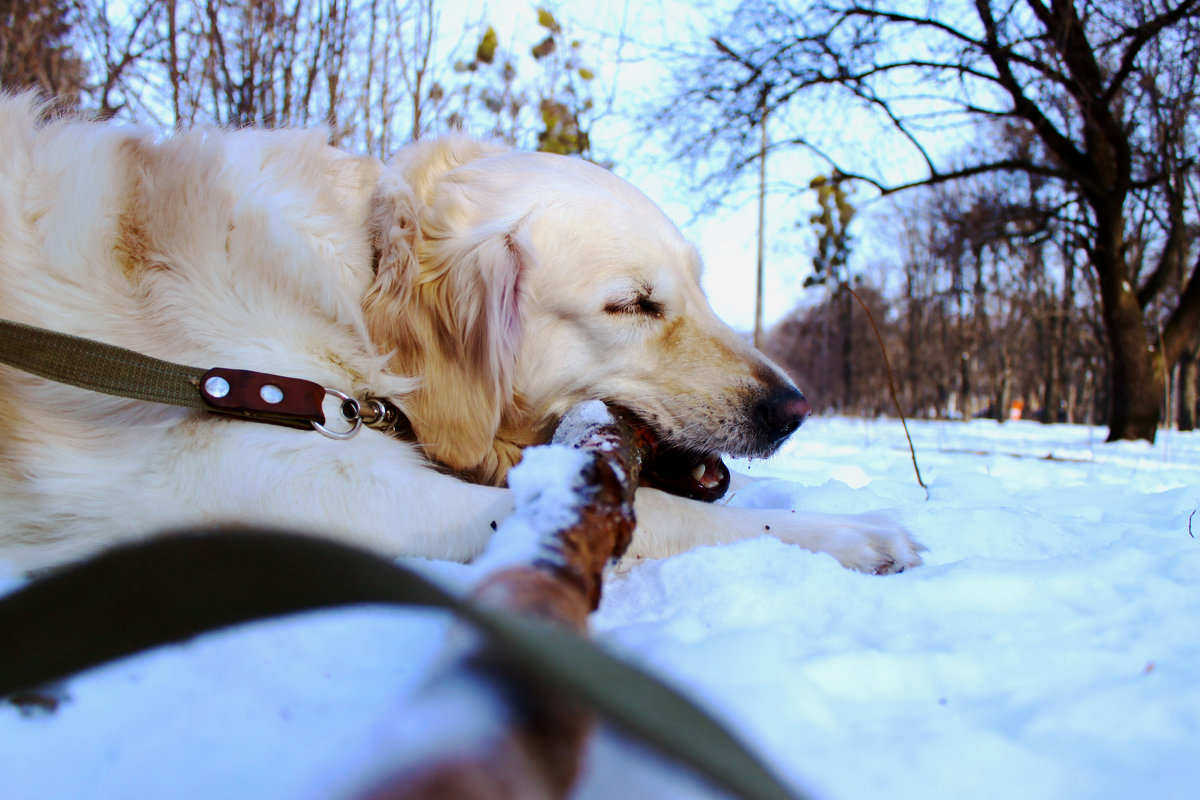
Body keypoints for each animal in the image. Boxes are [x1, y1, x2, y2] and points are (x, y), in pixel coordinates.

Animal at [0, 97, 921, 575]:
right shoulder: (296, 488)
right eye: (633, 305)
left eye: (698, 286)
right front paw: (851, 533)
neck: (355, 294)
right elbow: (670, 516)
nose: (793, 408)